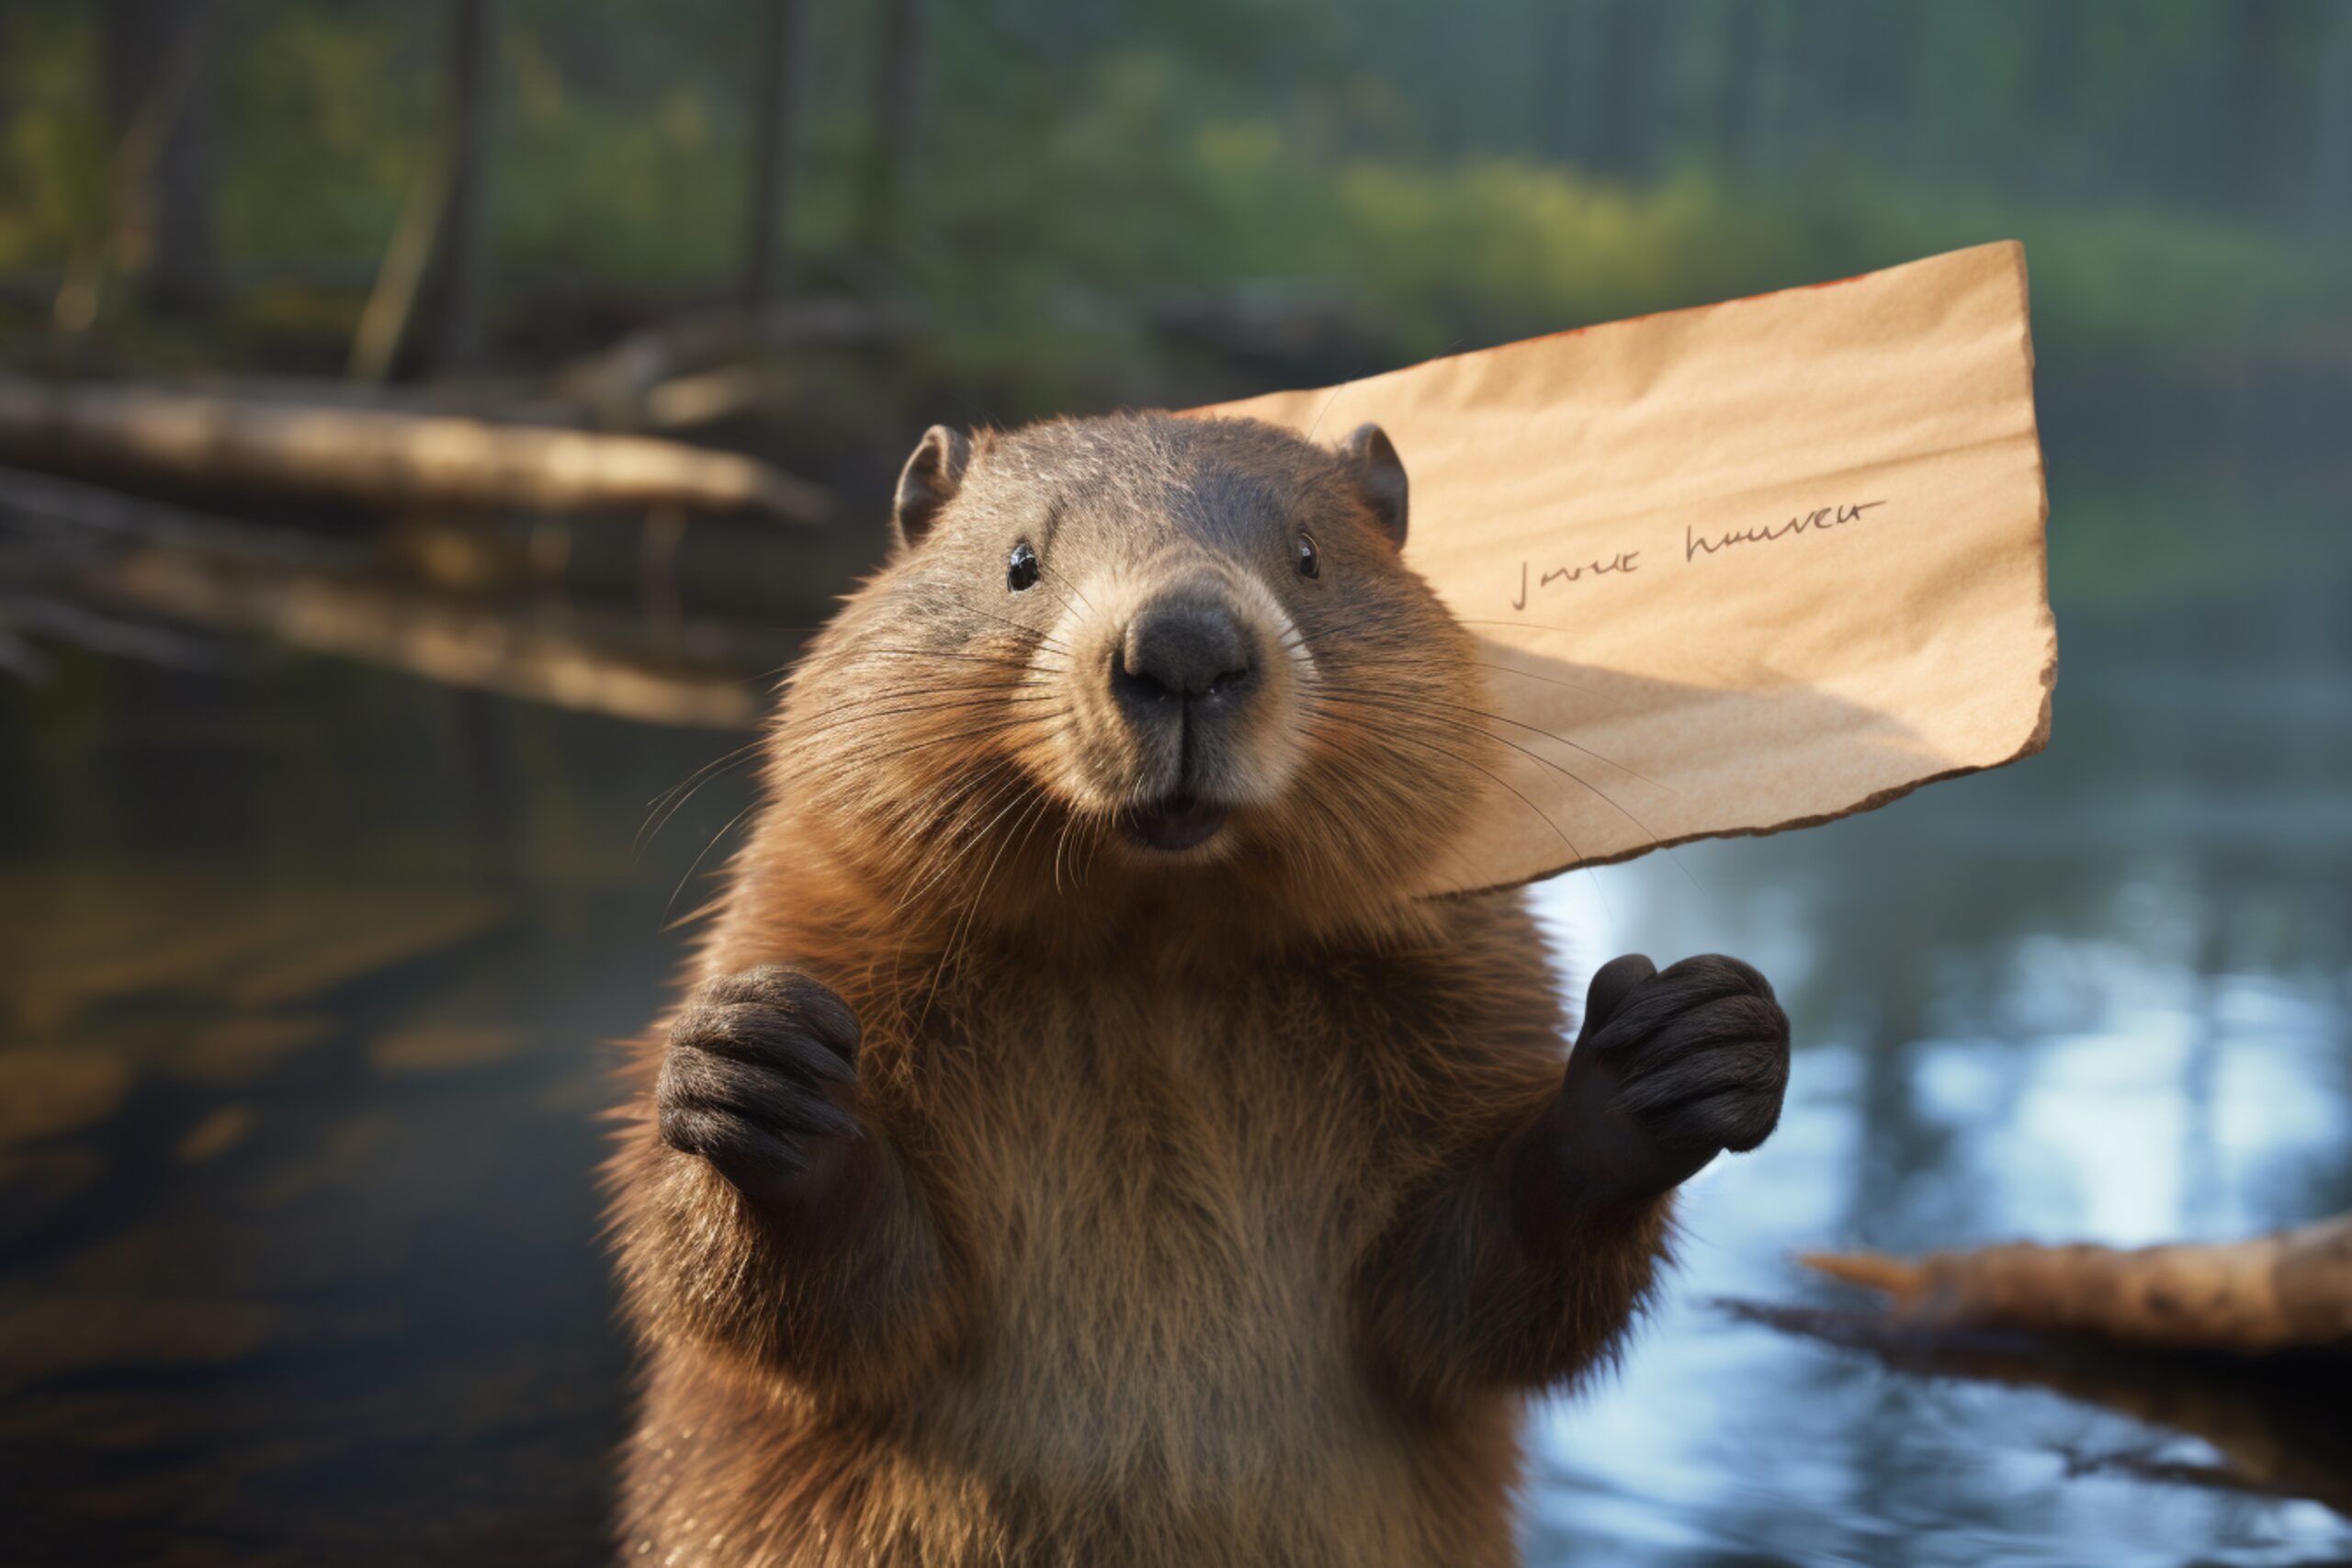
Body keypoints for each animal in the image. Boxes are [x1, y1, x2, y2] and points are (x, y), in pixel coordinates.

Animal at [606, 411, 1778, 1561]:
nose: (1182, 649)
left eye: (1308, 555)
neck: (1154, 950)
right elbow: (807, 1307)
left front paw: (1691, 1039)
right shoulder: (805, 902)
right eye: (1020, 562)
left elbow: (1463, 1290)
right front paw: (752, 1061)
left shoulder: (1473, 957)